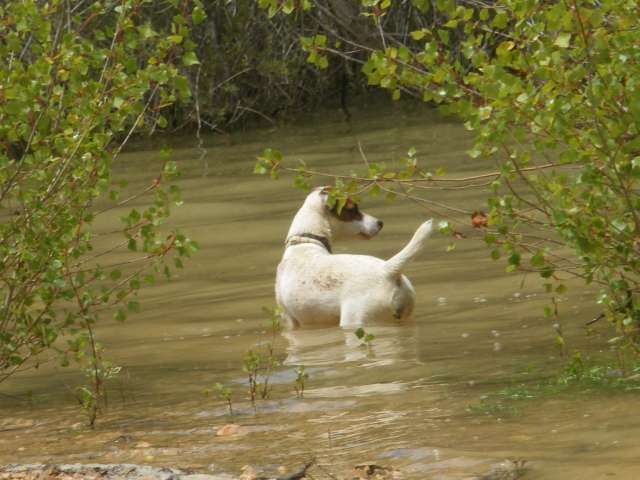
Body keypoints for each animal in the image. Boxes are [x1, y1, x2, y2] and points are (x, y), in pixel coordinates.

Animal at [276, 187, 436, 326]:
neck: (306, 241)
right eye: (353, 210)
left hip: (357, 319)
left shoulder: (289, 319)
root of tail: (387, 270)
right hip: (404, 315)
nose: (380, 223)